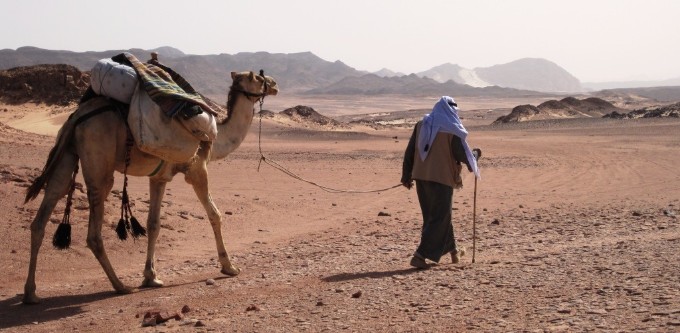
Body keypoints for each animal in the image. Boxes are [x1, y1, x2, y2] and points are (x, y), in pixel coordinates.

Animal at [23, 70, 278, 304]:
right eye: (257, 77)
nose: (274, 84)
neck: (217, 137)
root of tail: (77, 116)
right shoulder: (196, 169)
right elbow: (215, 214)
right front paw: (229, 266)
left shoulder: (159, 177)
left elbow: (153, 224)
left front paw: (151, 277)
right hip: (99, 160)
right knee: (93, 230)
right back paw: (120, 286)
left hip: (67, 153)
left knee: (47, 206)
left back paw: (31, 293)